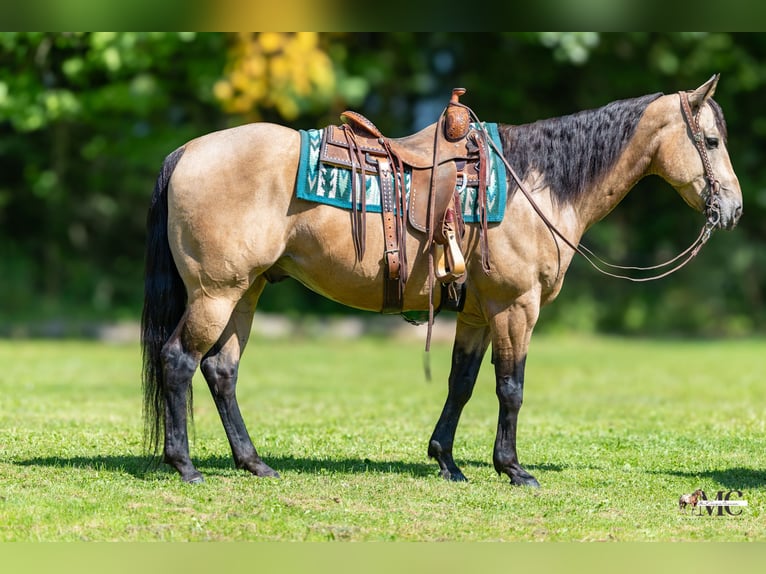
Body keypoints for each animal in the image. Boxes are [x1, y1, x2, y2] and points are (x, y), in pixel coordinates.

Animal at [141, 75, 742, 486]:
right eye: (711, 141)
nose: (733, 209)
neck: (534, 186)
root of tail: (187, 151)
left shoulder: (478, 311)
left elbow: (462, 382)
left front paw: (447, 461)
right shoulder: (515, 307)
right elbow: (511, 387)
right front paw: (513, 469)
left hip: (246, 291)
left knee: (221, 370)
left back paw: (253, 463)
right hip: (216, 293)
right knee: (179, 361)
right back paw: (185, 465)